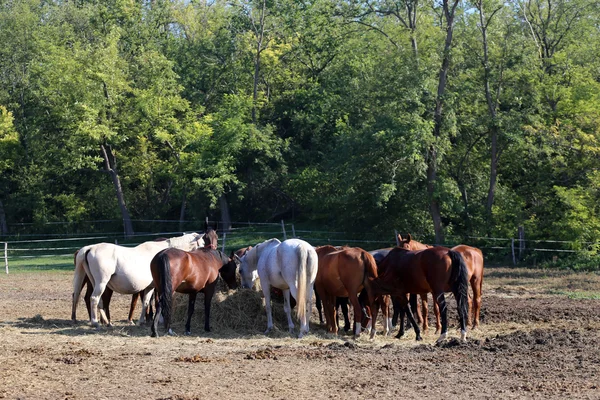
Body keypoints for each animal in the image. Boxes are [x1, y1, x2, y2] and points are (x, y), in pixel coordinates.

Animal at [73, 231, 217, 328]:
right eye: (203, 242)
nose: (208, 252)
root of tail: (90, 248)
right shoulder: (158, 286)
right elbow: (158, 301)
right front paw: (160, 320)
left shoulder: (149, 287)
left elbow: (146, 302)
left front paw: (142, 321)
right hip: (101, 283)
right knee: (94, 299)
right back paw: (95, 322)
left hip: (93, 282)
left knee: (91, 299)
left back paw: (104, 322)